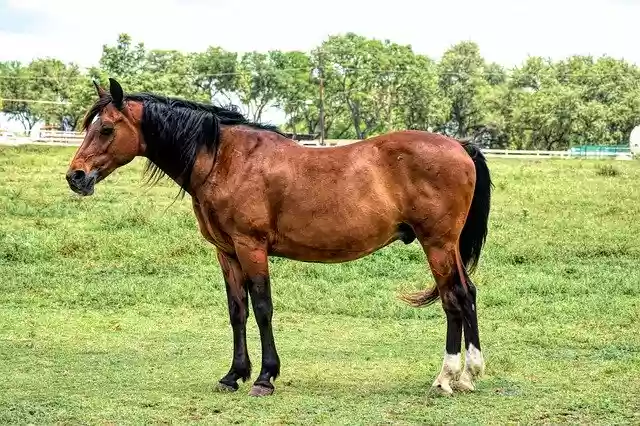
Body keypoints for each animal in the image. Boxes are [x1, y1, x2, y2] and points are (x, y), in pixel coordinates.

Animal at [66, 78, 492, 397]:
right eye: (89, 126)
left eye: (106, 128)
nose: (75, 176)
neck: (226, 160)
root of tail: (460, 146)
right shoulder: (227, 253)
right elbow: (237, 311)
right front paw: (233, 375)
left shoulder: (251, 248)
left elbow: (262, 308)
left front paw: (265, 377)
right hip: (447, 247)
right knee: (467, 293)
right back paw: (469, 375)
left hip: (437, 244)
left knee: (454, 298)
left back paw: (446, 378)